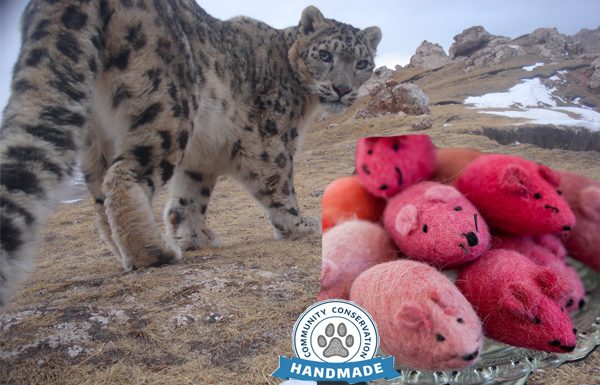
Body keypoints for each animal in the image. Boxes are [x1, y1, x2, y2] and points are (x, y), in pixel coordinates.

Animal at [0, 0, 382, 306]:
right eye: (325, 55)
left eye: (362, 63)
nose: (342, 88)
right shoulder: (271, 139)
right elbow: (279, 181)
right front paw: (300, 225)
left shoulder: (201, 159)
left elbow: (189, 198)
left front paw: (195, 236)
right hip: (167, 108)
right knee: (125, 174)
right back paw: (153, 253)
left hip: (96, 138)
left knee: (100, 196)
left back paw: (128, 251)